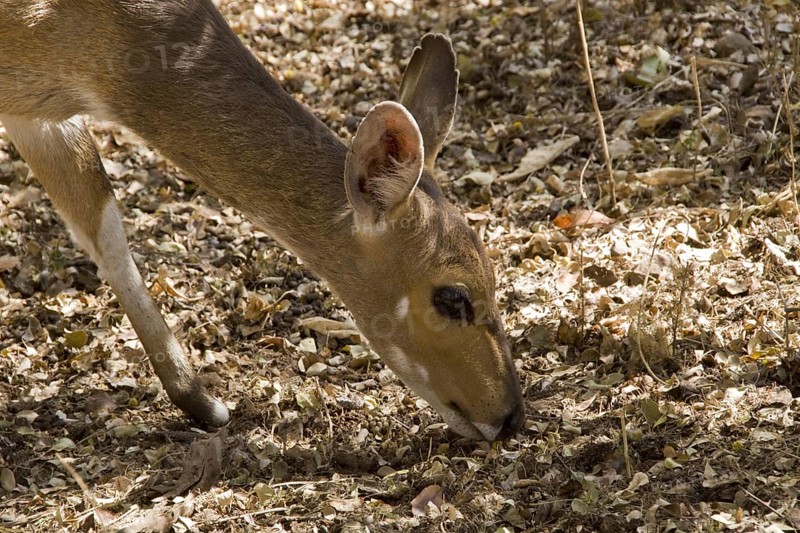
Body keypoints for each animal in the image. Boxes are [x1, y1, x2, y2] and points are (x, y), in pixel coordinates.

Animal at [0, 0, 525, 441]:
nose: (510, 417)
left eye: (494, 272)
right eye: (452, 297)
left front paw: (203, 404)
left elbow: (101, 224)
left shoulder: (38, 114)